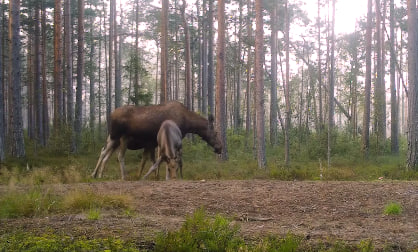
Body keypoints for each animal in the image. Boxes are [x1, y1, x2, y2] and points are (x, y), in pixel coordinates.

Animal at [91, 100, 222, 179]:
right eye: (216, 133)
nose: (220, 147)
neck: (188, 123)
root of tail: (110, 115)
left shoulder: (153, 142)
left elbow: (152, 159)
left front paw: (153, 175)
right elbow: (162, 160)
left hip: (114, 139)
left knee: (104, 153)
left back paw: (97, 174)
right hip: (119, 137)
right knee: (115, 155)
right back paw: (121, 176)